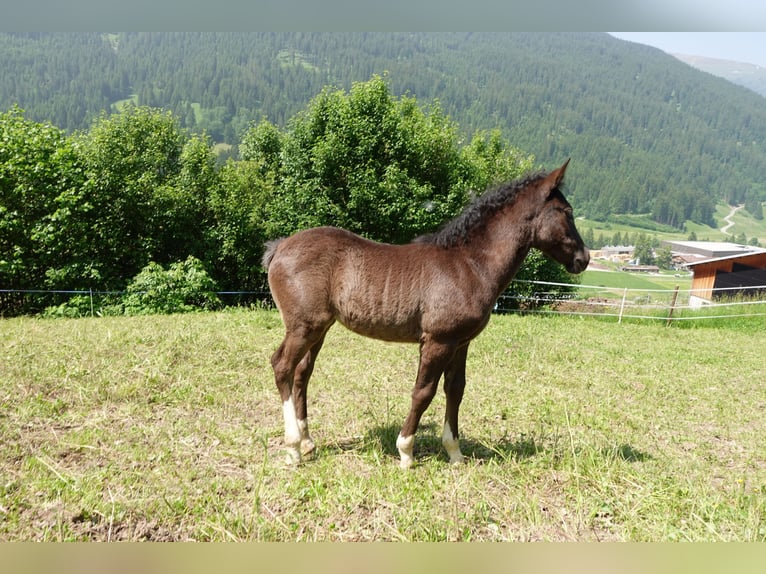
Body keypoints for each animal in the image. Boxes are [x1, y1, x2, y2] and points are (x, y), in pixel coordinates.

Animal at [262, 159, 589, 468]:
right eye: (567, 212)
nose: (583, 259)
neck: (469, 264)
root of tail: (280, 247)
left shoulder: (460, 342)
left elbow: (455, 389)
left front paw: (455, 453)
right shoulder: (437, 341)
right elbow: (423, 392)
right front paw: (406, 451)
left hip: (320, 328)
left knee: (302, 372)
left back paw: (308, 441)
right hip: (304, 326)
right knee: (282, 366)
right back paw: (293, 447)